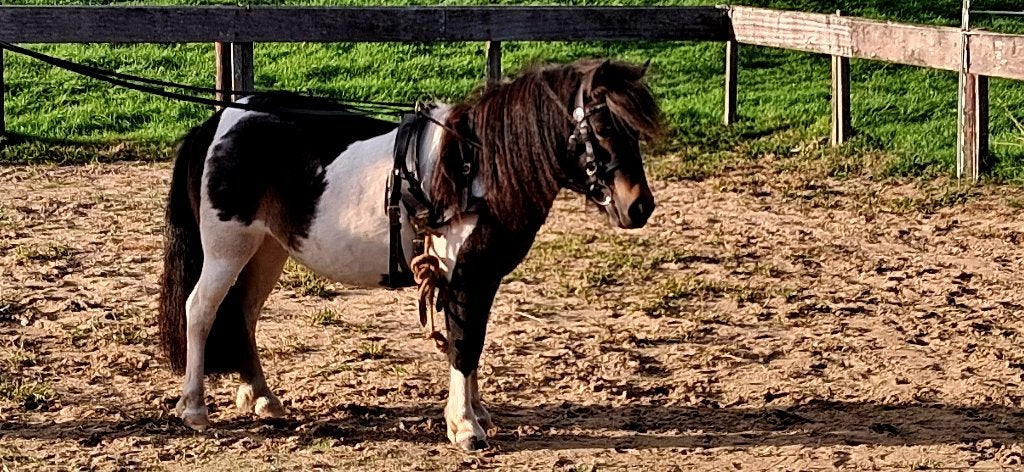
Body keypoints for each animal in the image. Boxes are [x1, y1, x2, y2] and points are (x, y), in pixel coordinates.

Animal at [157, 58, 662, 451]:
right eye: (602, 127)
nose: (640, 206)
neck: (474, 169)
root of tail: (219, 124)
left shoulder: (478, 278)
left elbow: (470, 340)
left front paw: (476, 413)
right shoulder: (465, 276)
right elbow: (464, 343)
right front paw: (465, 427)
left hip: (266, 250)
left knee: (242, 314)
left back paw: (262, 397)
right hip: (227, 248)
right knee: (200, 311)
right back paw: (195, 409)